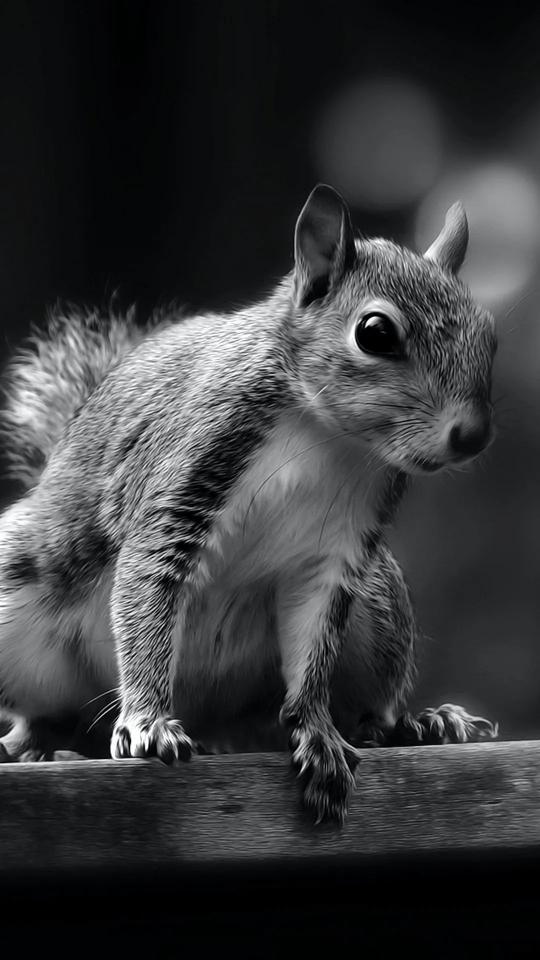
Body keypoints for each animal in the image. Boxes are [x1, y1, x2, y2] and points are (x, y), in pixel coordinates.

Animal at [0, 184, 498, 823]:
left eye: (488, 333)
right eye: (375, 333)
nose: (474, 434)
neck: (325, 434)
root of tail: (216, 725)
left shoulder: (336, 554)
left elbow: (312, 652)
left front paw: (317, 732)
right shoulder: (190, 470)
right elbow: (149, 585)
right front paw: (148, 721)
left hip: (378, 603)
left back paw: (414, 726)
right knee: (43, 716)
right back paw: (38, 745)